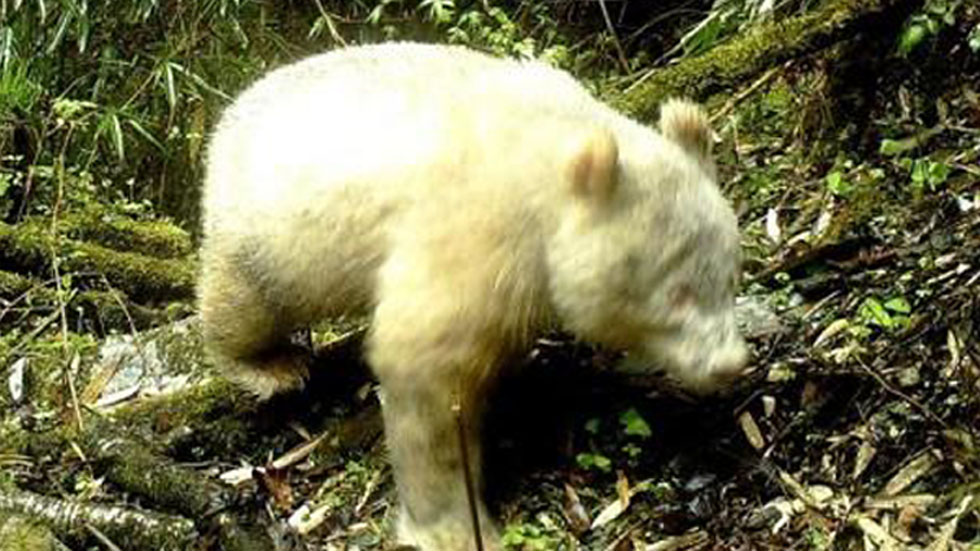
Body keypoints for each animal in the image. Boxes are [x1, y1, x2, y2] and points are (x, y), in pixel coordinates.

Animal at [198, 42, 748, 551]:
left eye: (730, 277)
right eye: (677, 294)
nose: (730, 363)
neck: (550, 158)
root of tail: (231, 113)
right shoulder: (477, 232)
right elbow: (425, 366)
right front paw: (452, 525)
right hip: (267, 232)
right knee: (244, 303)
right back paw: (271, 366)